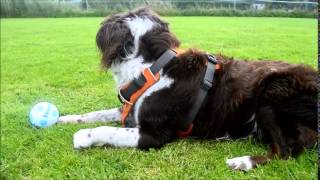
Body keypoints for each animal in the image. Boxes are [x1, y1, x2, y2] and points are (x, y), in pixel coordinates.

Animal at [58, 7, 318, 171]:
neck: (154, 67)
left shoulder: (154, 134)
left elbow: (107, 129)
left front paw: (83, 136)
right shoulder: (131, 110)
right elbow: (97, 113)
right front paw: (64, 118)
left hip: (272, 90)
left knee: (285, 153)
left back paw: (243, 162)